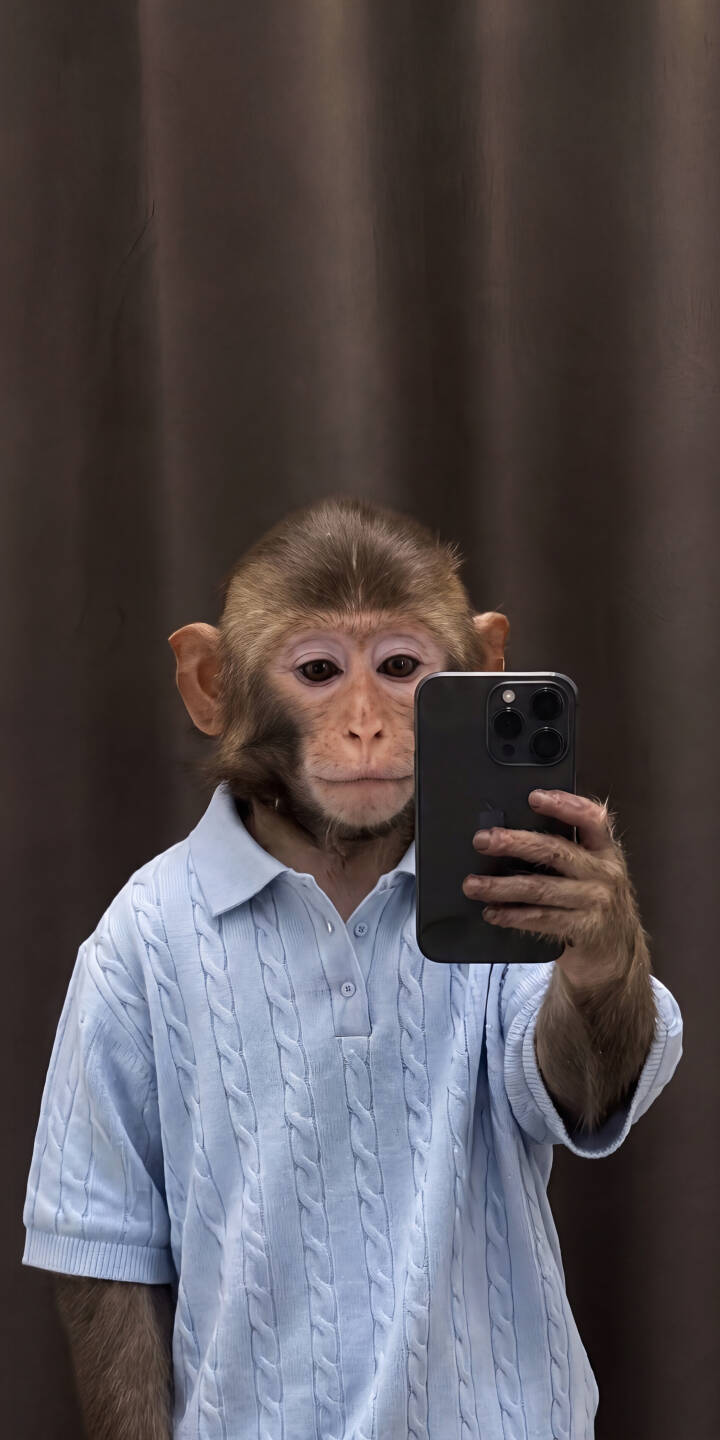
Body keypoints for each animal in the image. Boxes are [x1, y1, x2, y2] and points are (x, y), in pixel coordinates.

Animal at [31, 496, 680, 1440]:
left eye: (401, 667)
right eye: (320, 671)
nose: (371, 723)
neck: (337, 862)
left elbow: (566, 1075)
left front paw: (591, 913)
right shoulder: (108, 960)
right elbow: (111, 1251)